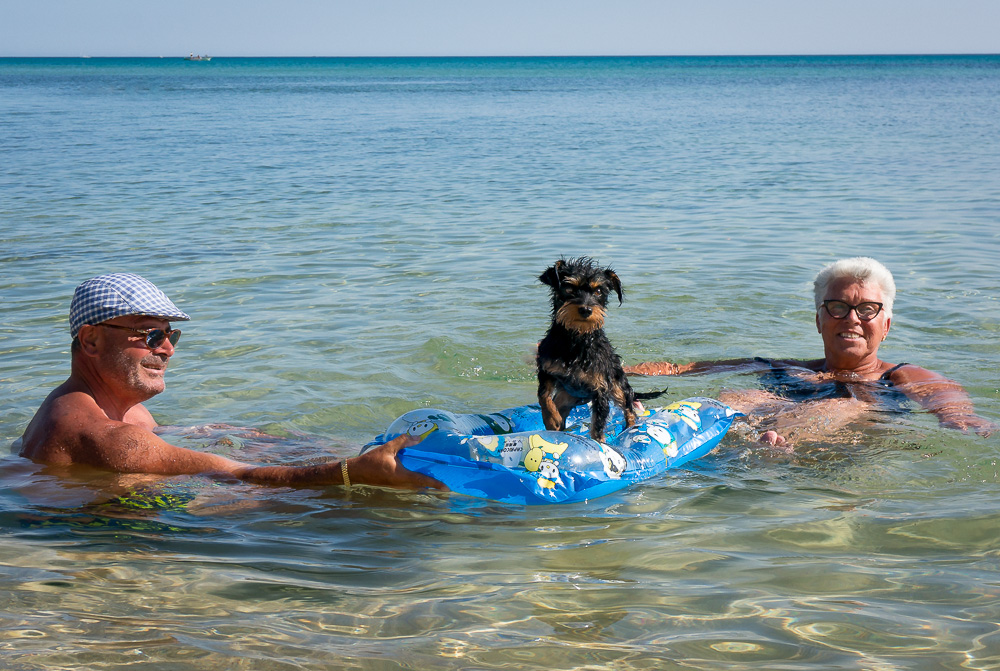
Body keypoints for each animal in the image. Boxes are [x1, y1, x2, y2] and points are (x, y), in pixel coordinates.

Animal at [536, 258, 668, 440]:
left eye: (598, 291)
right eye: (569, 287)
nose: (585, 309)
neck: (578, 339)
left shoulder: (601, 388)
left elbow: (598, 424)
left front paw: (599, 442)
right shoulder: (546, 368)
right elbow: (544, 396)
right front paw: (551, 419)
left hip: (618, 384)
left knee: (629, 408)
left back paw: (630, 428)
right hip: (567, 395)